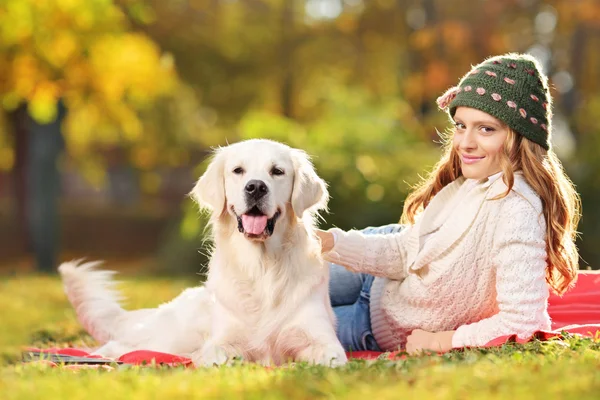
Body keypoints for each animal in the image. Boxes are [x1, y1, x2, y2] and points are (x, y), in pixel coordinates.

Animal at [58, 139, 350, 368]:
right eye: (238, 170)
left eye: (277, 171)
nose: (256, 187)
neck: (262, 267)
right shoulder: (222, 341)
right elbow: (220, 357)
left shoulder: (322, 341)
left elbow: (329, 358)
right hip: (172, 336)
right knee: (119, 347)